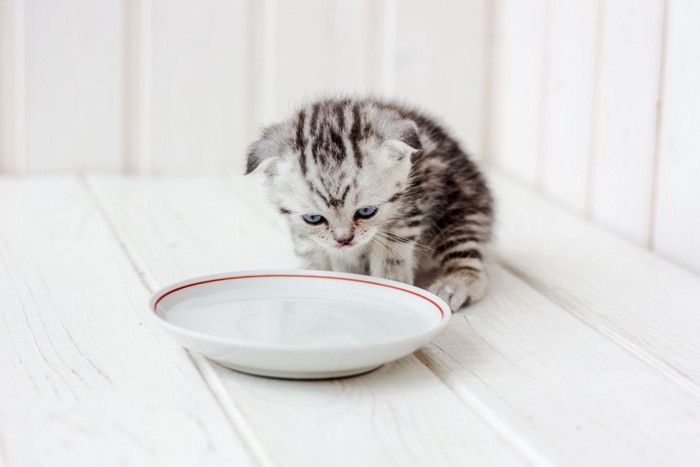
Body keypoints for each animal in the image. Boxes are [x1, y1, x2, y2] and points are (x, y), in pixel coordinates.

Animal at [246, 98, 492, 310]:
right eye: (313, 218)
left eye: (366, 212)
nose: (344, 240)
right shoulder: (303, 231)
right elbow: (310, 250)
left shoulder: (412, 201)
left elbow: (392, 248)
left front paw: (391, 282)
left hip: (459, 202)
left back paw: (456, 284)